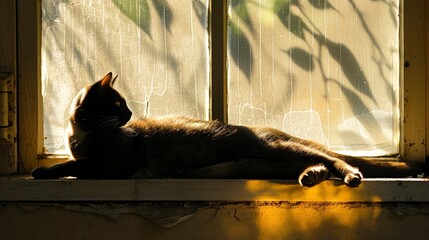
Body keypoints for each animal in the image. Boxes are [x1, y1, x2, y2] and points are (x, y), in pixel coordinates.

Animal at [31, 72, 426, 187]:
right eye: (117, 104)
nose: (129, 113)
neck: (79, 135)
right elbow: (75, 163)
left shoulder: (112, 165)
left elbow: (77, 165)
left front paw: (44, 171)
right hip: (263, 162)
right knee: (317, 163)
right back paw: (311, 177)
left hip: (273, 149)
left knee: (334, 158)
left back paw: (350, 176)